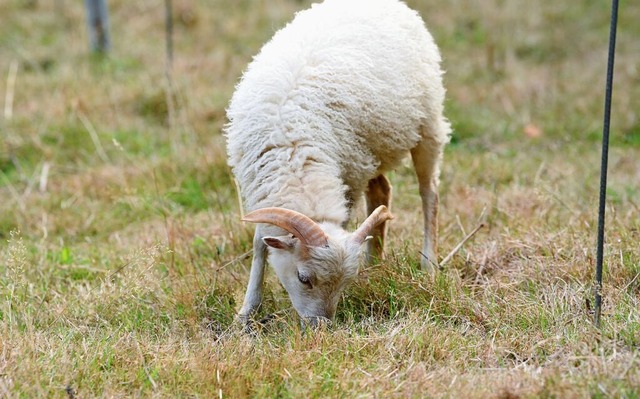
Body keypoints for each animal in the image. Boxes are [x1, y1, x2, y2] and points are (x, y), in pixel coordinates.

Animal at [225, 0, 450, 326]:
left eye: (344, 283)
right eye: (304, 278)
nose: (321, 327)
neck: (296, 159)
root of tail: (388, 4)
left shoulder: (348, 179)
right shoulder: (260, 190)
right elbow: (258, 245)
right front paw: (246, 311)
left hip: (426, 127)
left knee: (429, 193)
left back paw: (428, 263)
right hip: (369, 150)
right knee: (382, 190)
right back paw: (373, 263)